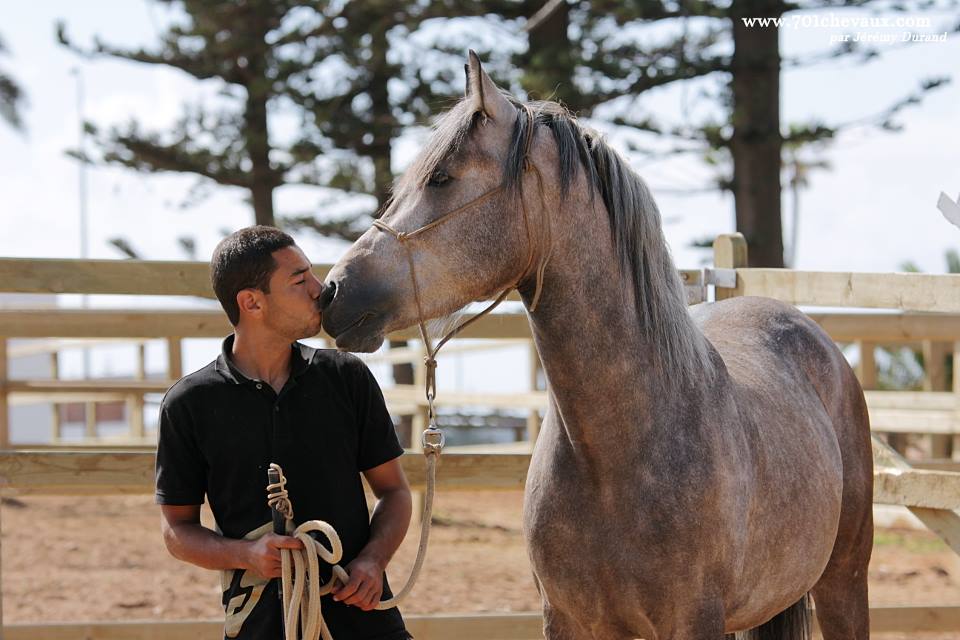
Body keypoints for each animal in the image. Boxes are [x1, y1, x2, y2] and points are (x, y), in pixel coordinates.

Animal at [318, 52, 872, 636]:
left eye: (442, 178)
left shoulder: (694, 620)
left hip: (843, 583)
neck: (616, 453)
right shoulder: (567, 619)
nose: (333, 290)